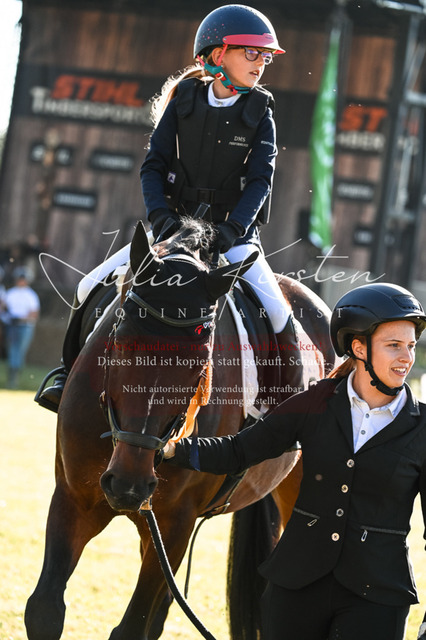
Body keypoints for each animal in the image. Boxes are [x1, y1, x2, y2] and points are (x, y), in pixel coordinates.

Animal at [25, 219, 336, 640]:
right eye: (120, 341)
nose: (128, 485)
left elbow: (132, 627)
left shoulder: (176, 525)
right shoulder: (75, 500)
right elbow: (44, 609)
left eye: (200, 361)